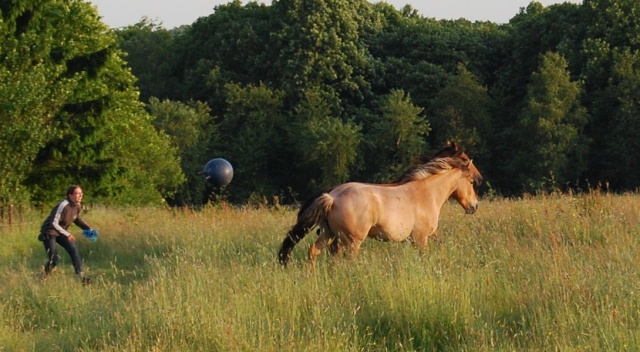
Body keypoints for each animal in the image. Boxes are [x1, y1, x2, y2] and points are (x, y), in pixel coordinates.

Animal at [278, 142, 482, 266]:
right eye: (471, 182)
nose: (475, 206)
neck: (426, 192)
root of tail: (332, 197)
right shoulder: (421, 238)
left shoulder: (427, 236)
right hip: (351, 240)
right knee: (345, 258)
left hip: (329, 233)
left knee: (314, 251)